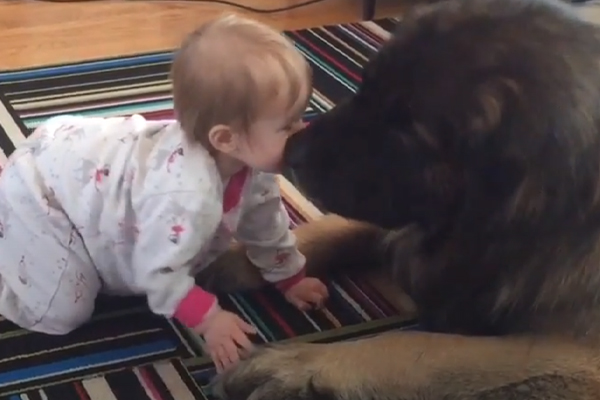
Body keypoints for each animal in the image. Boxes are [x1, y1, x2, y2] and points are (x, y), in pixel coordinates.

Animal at [202, 0, 600, 398]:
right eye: (364, 88)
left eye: (407, 129)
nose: (290, 154)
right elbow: (337, 230)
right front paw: (240, 257)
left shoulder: (579, 360)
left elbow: (415, 347)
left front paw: (295, 364)